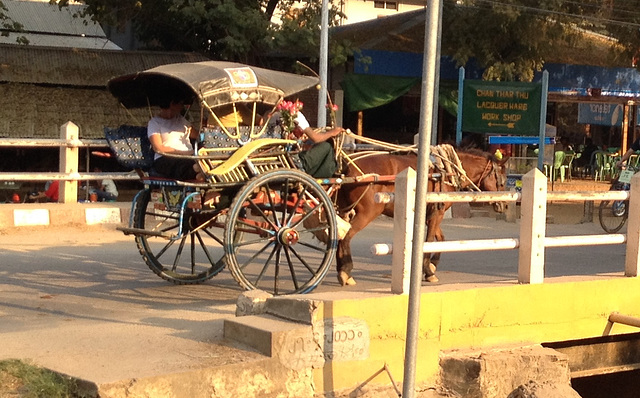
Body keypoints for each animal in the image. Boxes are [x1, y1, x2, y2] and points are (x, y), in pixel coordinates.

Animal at [338, 148, 508, 284]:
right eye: (502, 180)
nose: (505, 205)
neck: (446, 172)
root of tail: (347, 167)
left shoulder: (431, 215)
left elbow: (440, 239)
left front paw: (432, 265)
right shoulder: (437, 214)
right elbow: (429, 240)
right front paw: (428, 271)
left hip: (344, 210)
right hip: (368, 213)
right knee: (345, 237)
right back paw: (346, 271)